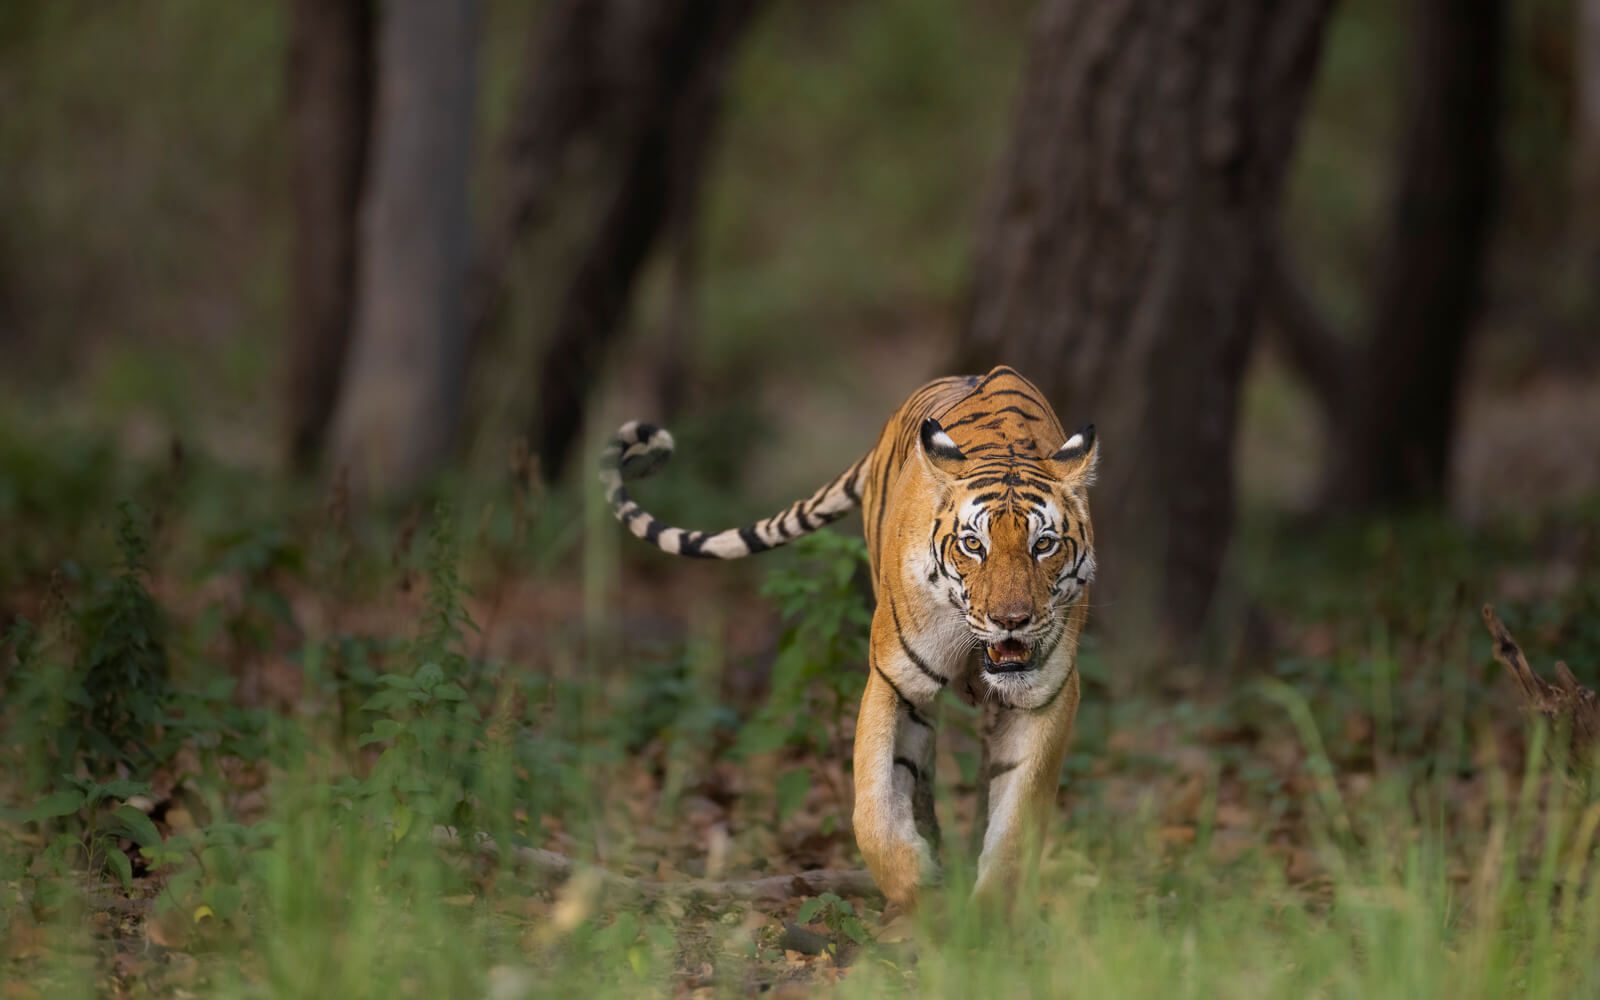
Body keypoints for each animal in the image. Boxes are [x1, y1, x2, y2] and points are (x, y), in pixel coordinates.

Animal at [598, 365, 1098, 909]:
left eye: (1043, 544)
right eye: (973, 544)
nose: (1011, 620)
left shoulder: (1047, 695)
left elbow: (1016, 821)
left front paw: (986, 913)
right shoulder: (894, 679)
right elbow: (873, 808)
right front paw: (917, 891)